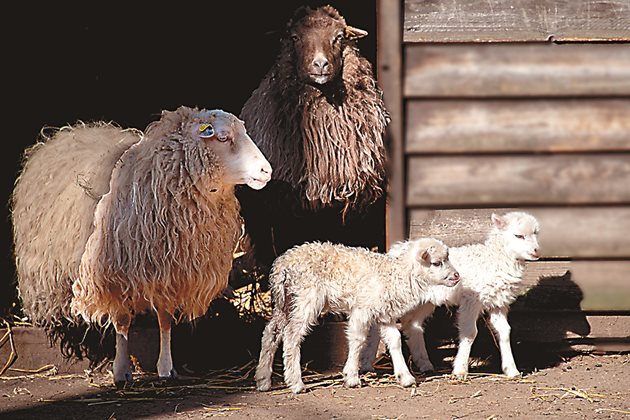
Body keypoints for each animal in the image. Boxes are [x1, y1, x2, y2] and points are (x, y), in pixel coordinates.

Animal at [9, 106, 272, 386]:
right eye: (223, 138)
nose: (267, 171)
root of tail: (65, 132)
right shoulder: (114, 274)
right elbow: (122, 321)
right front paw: (121, 370)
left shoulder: (170, 272)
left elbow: (165, 319)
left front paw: (166, 366)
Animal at [254, 240, 462, 394]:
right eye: (436, 263)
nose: (456, 276)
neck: (395, 276)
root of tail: (282, 264)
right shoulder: (362, 309)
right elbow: (358, 340)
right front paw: (352, 377)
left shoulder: (384, 313)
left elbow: (394, 340)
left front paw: (405, 377)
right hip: (306, 297)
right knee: (291, 335)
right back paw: (296, 383)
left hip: (285, 301)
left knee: (271, 332)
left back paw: (263, 380)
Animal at [362, 212, 544, 378]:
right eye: (518, 235)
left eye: (536, 233)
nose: (536, 251)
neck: (494, 259)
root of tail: (395, 250)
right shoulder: (471, 299)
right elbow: (470, 332)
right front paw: (460, 370)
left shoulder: (498, 302)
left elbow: (505, 331)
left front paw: (512, 370)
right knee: (379, 326)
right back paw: (367, 364)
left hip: (425, 301)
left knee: (412, 325)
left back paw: (424, 364)